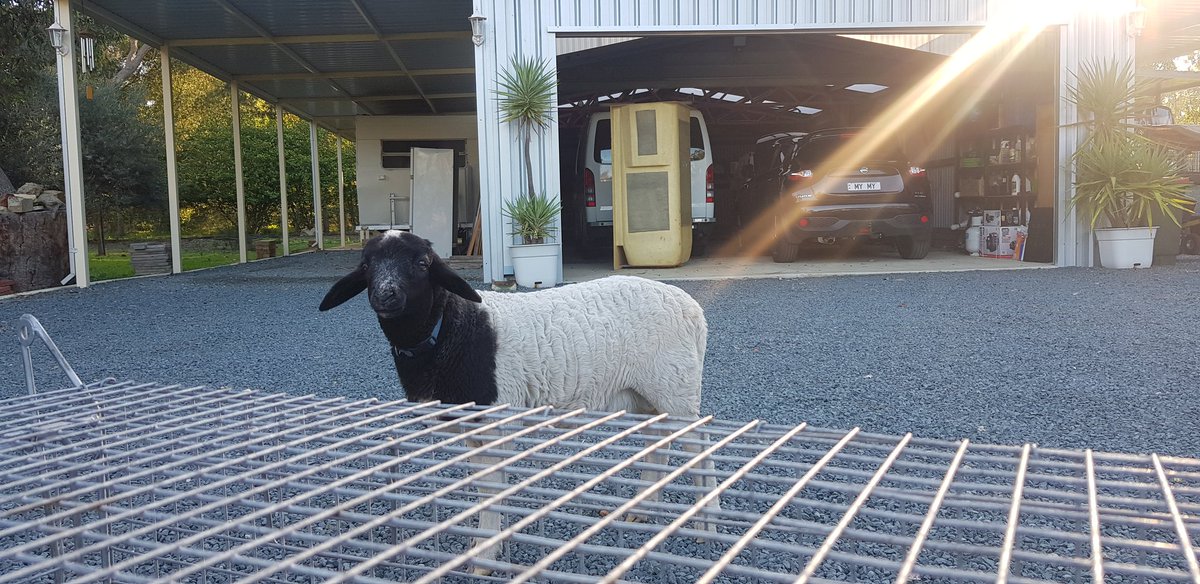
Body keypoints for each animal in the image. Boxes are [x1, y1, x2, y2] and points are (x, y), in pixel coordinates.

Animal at [319, 230, 715, 570]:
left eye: (422, 263)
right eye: (366, 266)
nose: (386, 296)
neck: (447, 329)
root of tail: (693, 309)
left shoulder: (493, 419)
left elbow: (491, 489)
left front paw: (485, 558)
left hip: (676, 387)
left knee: (700, 447)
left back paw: (705, 526)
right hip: (647, 393)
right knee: (660, 444)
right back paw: (641, 512)